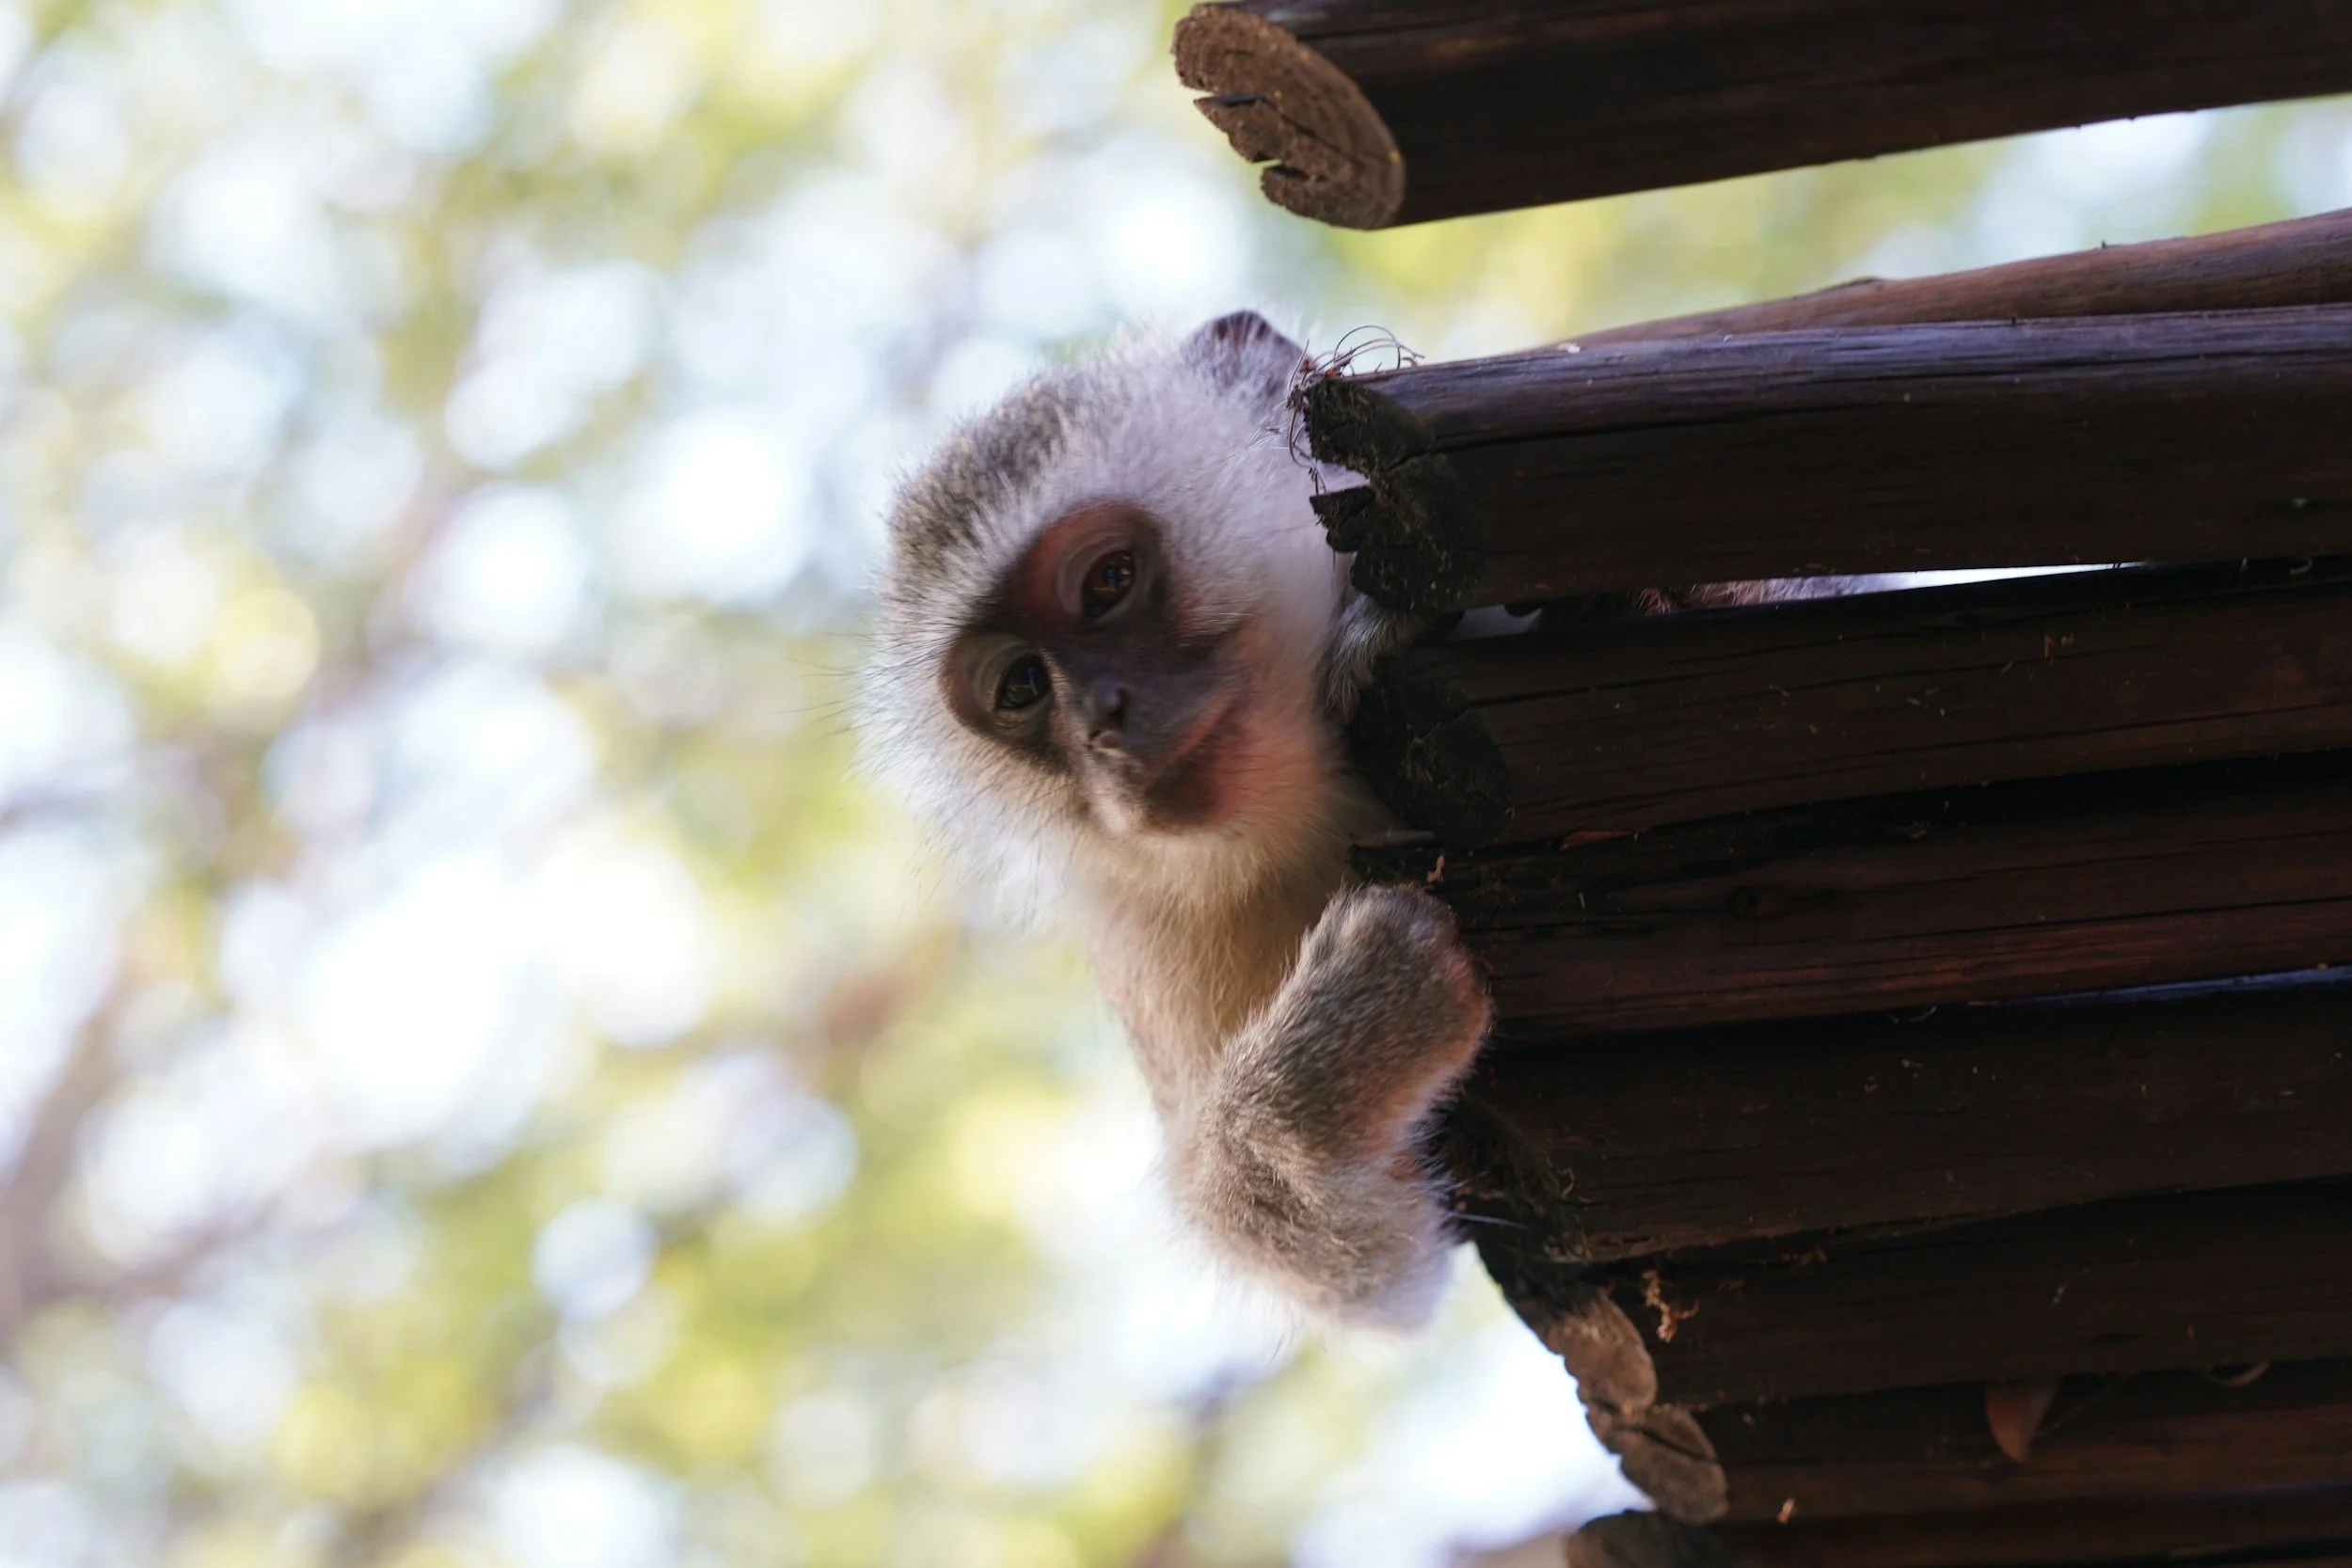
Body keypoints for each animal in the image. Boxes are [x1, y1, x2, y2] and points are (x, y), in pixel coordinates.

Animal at [862, 311, 1490, 1326]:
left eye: (1109, 580)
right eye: (1023, 686)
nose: (1101, 720)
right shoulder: (1156, 942)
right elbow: (1386, 1271)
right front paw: (1326, 1064)